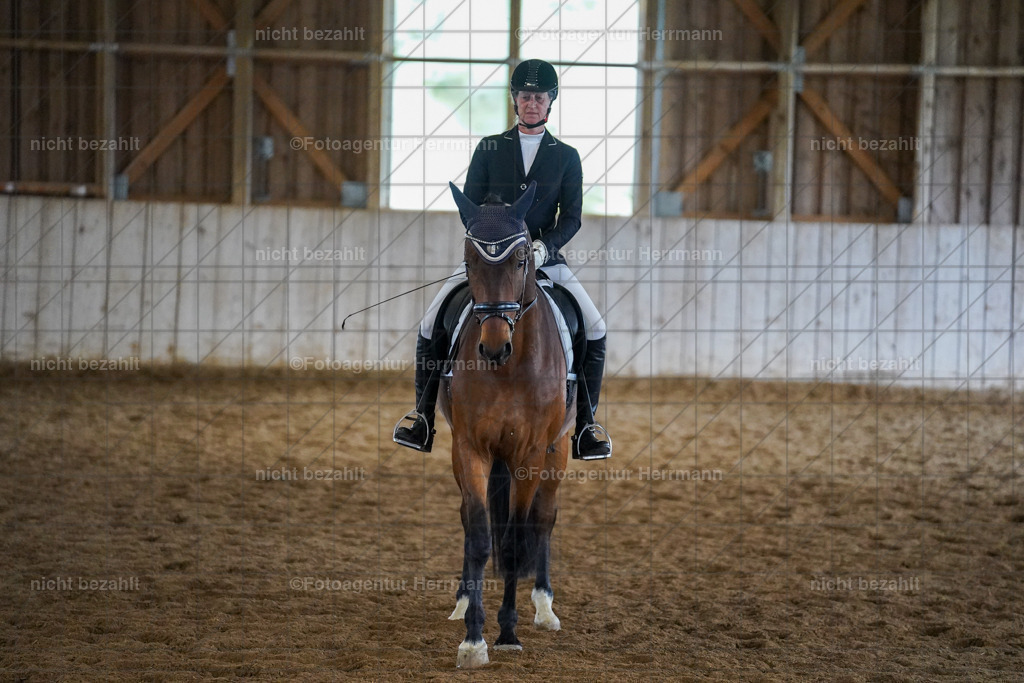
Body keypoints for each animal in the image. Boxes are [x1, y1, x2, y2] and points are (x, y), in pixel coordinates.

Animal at [438, 180, 573, 668]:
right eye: (469, 261)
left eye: (520, 260)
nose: (493, 347)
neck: (509, 369)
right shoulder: (470, 447)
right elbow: (480, 534)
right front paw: (474, 639)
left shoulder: (530, 454)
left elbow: (515, 542)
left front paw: (508, 632)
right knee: (467, 518)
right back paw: (462, 602)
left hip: (559, 449)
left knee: (544, 519)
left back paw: (545, 607)